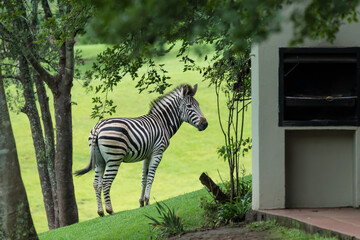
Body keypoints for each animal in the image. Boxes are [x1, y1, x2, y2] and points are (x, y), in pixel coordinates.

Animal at [75, 83, 208, 217]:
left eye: (198, 105)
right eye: (189, 106)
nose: (205, 124)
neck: (163, 122)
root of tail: (98, 127)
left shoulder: (147, 155)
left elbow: (144, 178)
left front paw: (141, 202)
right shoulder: (158, 152)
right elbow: (151, 177)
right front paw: (148, 200)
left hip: (99, 160)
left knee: (96, 183)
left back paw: (100, 212)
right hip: (114, 158)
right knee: (106, 182)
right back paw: (110, 210)